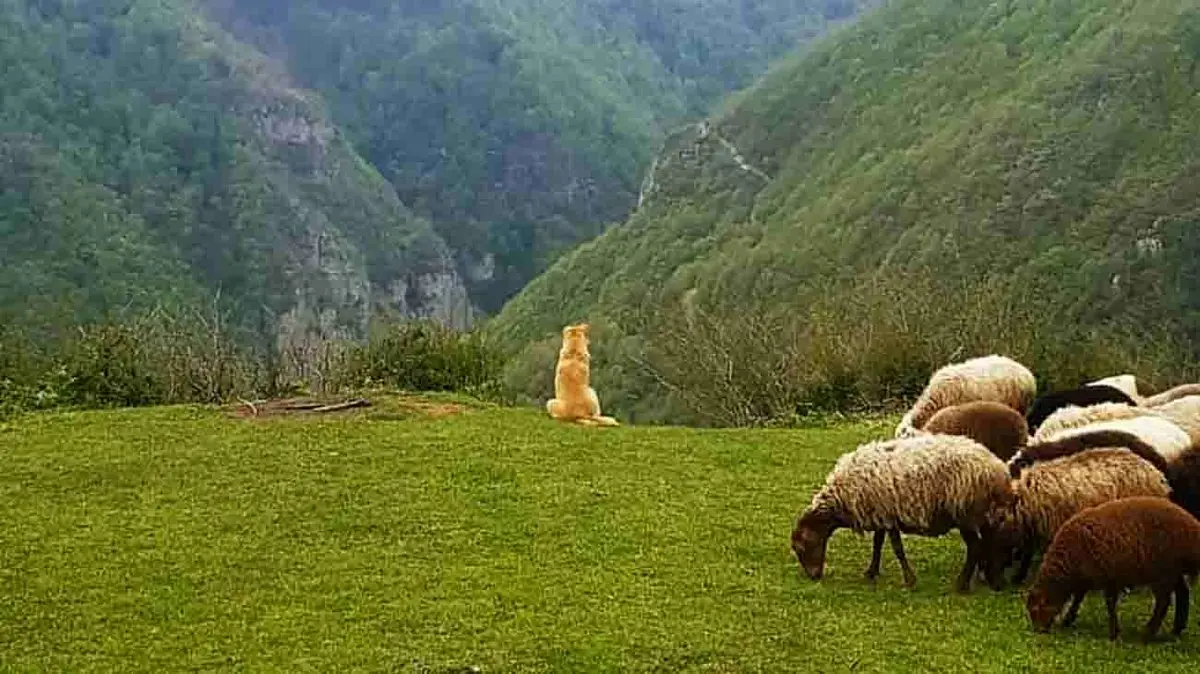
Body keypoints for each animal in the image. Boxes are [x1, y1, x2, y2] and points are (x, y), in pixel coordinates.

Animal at [790, 434, 1013, 593]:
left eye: (801, 547)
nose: (814, 576)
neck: (841, 498)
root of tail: (997, 469)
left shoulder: (889, 516)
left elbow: (897, 548)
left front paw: (909, 580)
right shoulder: (880, 514)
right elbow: (877, 544)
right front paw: (871, 572)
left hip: (965, 512)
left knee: (975, 547)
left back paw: (962, 584)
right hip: (980, 514)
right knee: (987, 542)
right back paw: (988, 578)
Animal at [1026, 496, 1200, 641]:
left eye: (1036, 609)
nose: (1038, 630)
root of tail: (1192, 528)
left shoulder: (1109, 577)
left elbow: (1109, 604)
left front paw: (1114, 633)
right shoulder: (1087, 579)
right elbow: (1078, 599)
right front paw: (1067, 620)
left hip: (1162, 571)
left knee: (1163, 602)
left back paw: (1148, 634)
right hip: (1172, 570)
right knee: (1183, 592)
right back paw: (1176, 629)